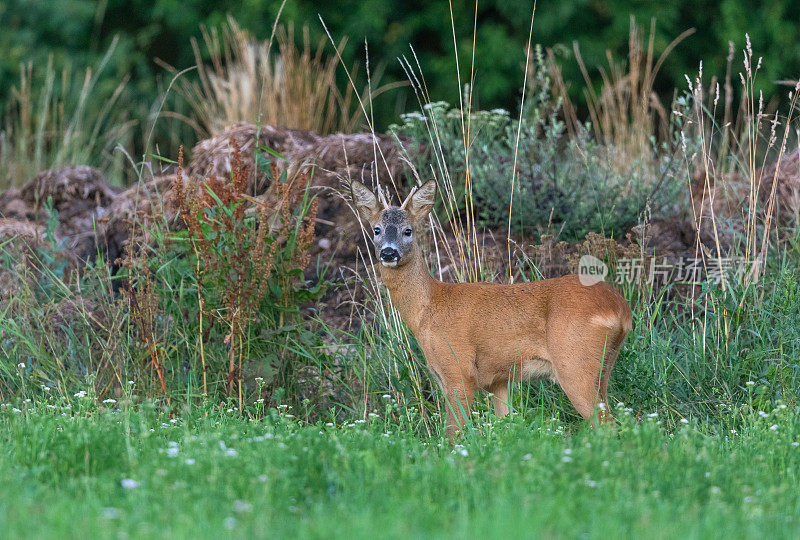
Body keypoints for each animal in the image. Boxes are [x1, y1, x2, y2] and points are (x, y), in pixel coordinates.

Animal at [354, 179, 636, 440]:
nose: (388, 253)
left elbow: (452, 435)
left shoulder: (458, 368)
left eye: (408, 231)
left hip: (574, 362)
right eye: (376, 229)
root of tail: (621, 309)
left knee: (607, 425)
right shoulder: (499, 380)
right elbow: (506, 426)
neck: (429, 308)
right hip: (605, 366)